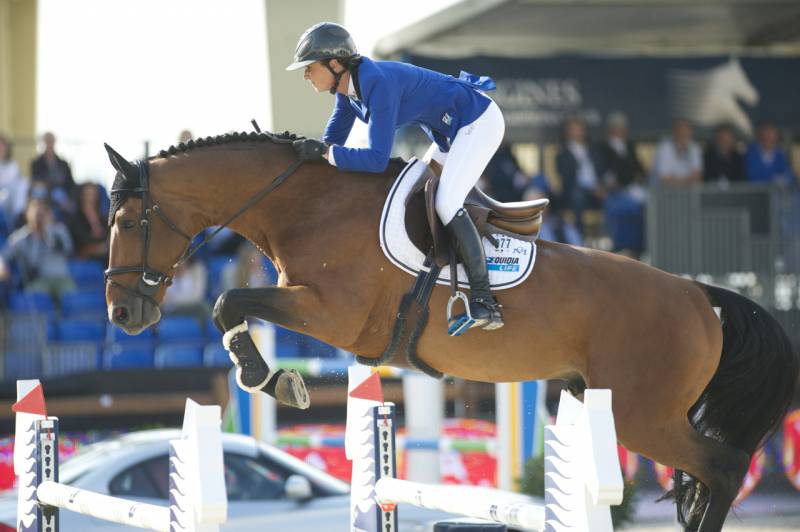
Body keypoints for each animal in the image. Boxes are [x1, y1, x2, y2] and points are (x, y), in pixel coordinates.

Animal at [103, 131, 798, 532]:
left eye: (129, 219)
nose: (121, 315)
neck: (306, 204)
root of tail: (700, 295)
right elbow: (233, 305)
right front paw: (274, 378)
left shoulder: (330, 312)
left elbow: (228, 301)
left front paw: (270, 379)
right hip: (609, 401)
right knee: (714, 473)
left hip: (641, 416)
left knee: (724, 467)